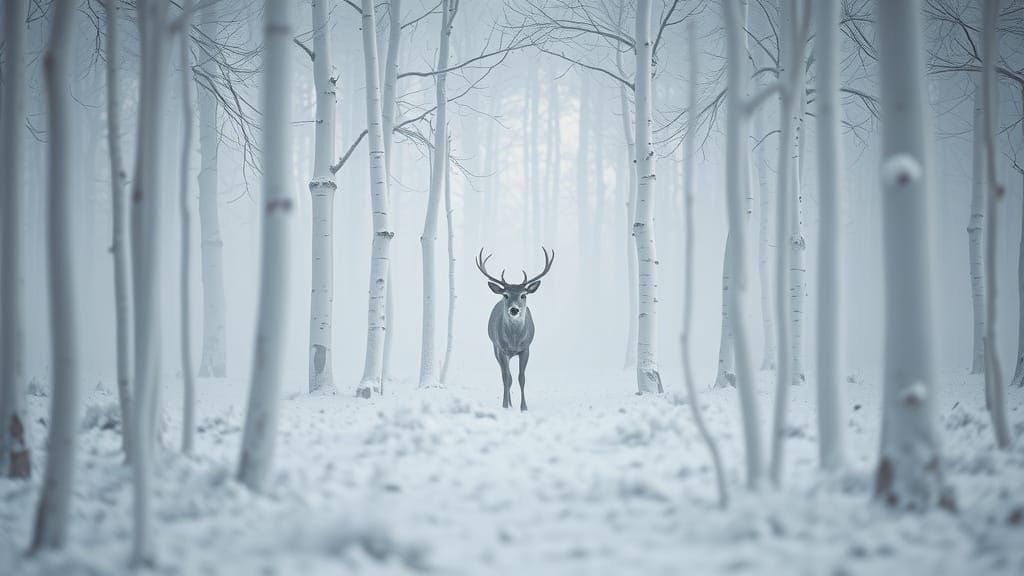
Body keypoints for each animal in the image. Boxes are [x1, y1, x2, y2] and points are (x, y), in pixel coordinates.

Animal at [475, 247, 555, 411]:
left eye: (523, 295)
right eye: (505, 295)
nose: (514, 309)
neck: (514, 340)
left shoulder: (526, 348)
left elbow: (521, 378)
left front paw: (524, 407)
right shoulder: (501, 349)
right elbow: (507, 377)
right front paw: (505, 405)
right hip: (495, 348)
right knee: (505, 376)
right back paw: (508, 403)